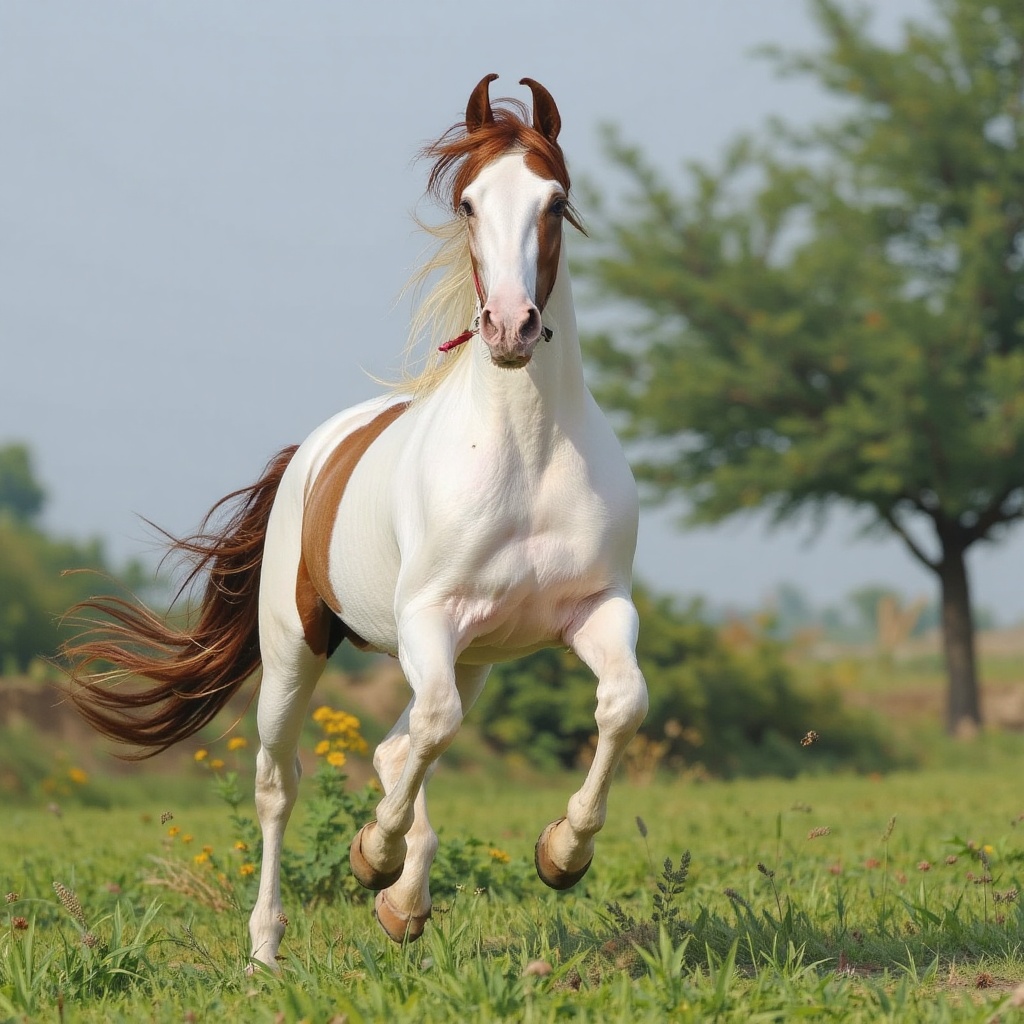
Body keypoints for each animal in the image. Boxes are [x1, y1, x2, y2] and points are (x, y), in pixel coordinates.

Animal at [64, 74, 649, 969]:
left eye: (554, 202)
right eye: (469, 202)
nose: (510, 327)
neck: (528, 455)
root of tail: (311, 453)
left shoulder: (598, 610)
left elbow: (622, 704)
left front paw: (562, 853)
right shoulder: (426, 617)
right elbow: (428, 734)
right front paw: (372, 856)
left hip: (472, 658)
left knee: (400, 745)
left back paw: (404, 905)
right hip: (297, 650)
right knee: (284, 783)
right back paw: (269, 949)